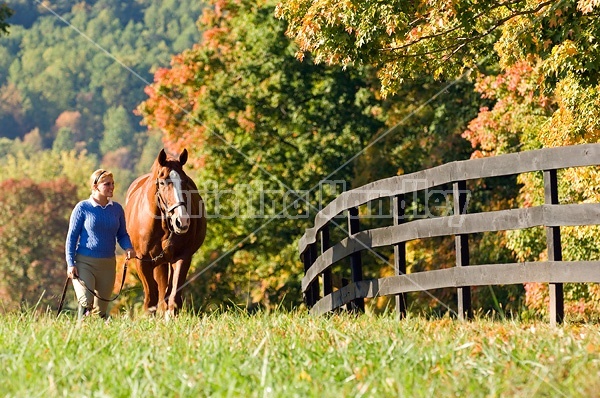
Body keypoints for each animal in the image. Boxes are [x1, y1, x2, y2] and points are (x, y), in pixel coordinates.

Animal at [124, 148, 206, 318]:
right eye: (162, 182)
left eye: (185, 181)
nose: (182, 221)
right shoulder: (142, 261)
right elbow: (151, 296)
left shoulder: (182, 257)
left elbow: (173, 295)